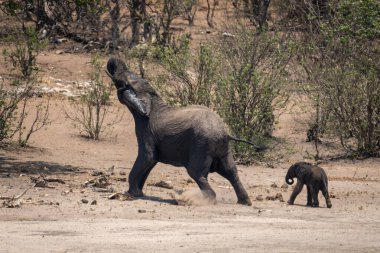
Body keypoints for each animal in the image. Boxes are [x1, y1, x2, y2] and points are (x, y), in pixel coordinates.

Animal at [105, 58, 262, 207]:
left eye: (122, 82)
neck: (153, 99)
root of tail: (225, 133)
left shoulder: (147, 130)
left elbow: (147, 157)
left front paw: (131, 194)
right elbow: (151, 162)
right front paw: (138, 193)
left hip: (201, 146)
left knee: (197, 174)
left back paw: (187, 199)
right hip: (222, 149)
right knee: (231, 172)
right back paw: (245, 202)